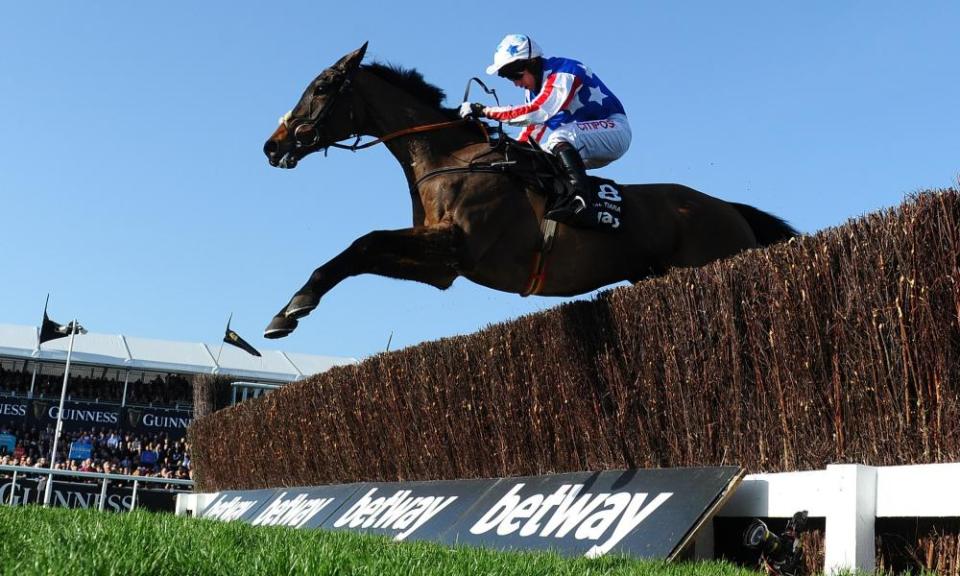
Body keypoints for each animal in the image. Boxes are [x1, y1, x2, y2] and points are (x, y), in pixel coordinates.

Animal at [260, 44, 796, 338]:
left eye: (323, 87)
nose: (272, 145)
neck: (452, 158)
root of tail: (729, 209)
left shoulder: (458, 245)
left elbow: (364, 242)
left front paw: (292, 308)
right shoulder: (442, 267)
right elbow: (361, 250)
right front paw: (287, 310)